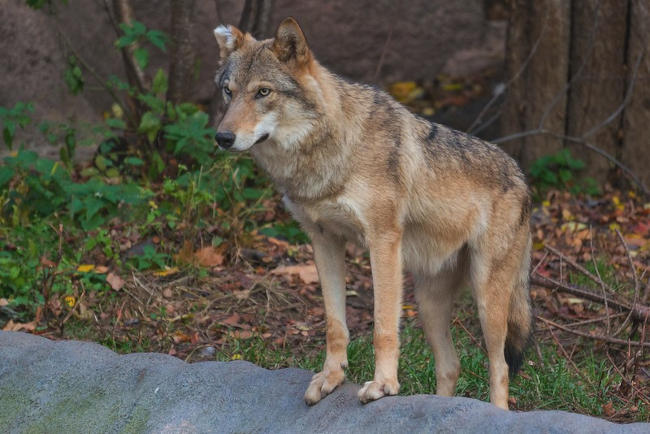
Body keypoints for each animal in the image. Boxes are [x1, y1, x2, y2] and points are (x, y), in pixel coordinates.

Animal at [210, 17, 528, 410]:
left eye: (263, 92)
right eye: (229, 92)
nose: (222, 137)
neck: (329, 151)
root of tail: (522, 176)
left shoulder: (383, 241)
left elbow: (382, 326)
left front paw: (384, 386)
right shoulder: (324, 241)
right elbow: (335, 324)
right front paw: (331, 378)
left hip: (487, 300)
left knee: (499, 367)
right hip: (428, 303)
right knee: (450, 366)